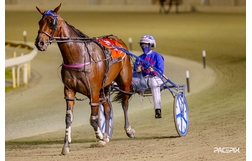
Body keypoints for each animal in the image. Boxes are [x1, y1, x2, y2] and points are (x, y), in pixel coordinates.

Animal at [35, 3, 136, 155]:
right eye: (40, 22)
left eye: (52, 22)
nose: (39, 43)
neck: (79, 55)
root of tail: (118, 40)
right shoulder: (69, 91)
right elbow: (68, 118)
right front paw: (66, 146)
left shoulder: (93, 91)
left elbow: (93, 119)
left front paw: (100, 137)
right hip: (104, 87)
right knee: (107, 109)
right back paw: (107, 136)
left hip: (124, 81)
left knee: (125, 103)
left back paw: (128, 130)